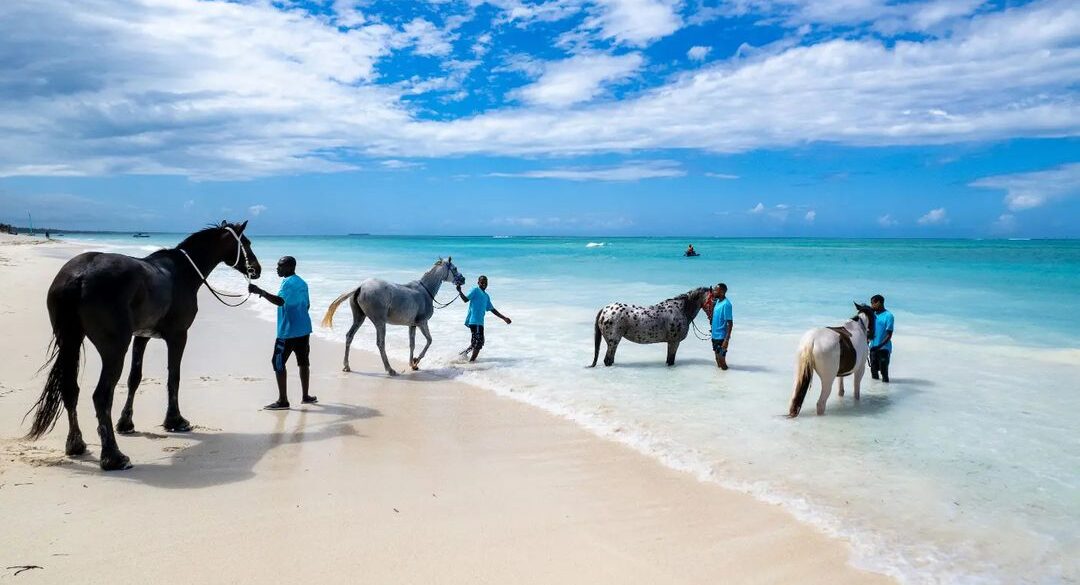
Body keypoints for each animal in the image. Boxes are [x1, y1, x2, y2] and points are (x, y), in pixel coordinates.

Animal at [24, 221, 261, 470]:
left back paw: (76, 444)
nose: (257, 269)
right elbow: (173, 377)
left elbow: (134, 379)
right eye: (246, 243)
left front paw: (126, 423)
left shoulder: (141, 337)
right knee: (101, 396)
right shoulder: (178, 336)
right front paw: (175, 420)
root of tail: (79, 276)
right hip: (114, 350)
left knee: (70, 390)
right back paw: (114, 457)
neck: (182, 273)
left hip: (70, 342)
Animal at [321, 257, 465, 376]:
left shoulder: (412, 325)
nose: (463, 279)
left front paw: (412, 363)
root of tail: (360, 287)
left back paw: (346, 366)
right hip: (380, 322)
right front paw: (416, 361)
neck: (425, 292)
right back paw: (390, 370)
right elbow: (429, 341)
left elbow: (412, 344)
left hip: (359, 318)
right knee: (380, 343)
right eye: (455, 268)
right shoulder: (422, 323)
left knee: (349, 336)